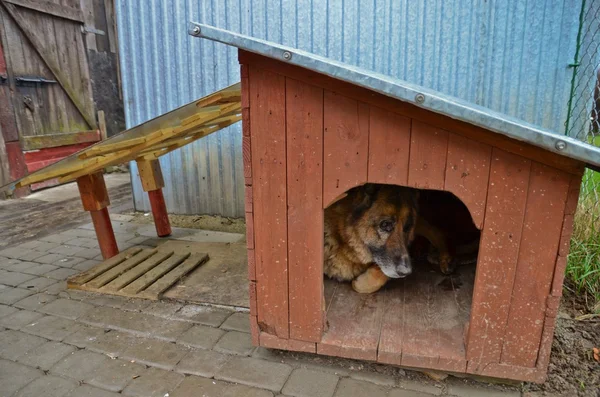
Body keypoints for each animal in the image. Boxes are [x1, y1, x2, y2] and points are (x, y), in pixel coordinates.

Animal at [322, 184, 480, 292]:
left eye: (407, 227)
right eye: (385, 225)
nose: (407, 272)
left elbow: (375, 278)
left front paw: (361, 282)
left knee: (437, 232)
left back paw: (446, 258)